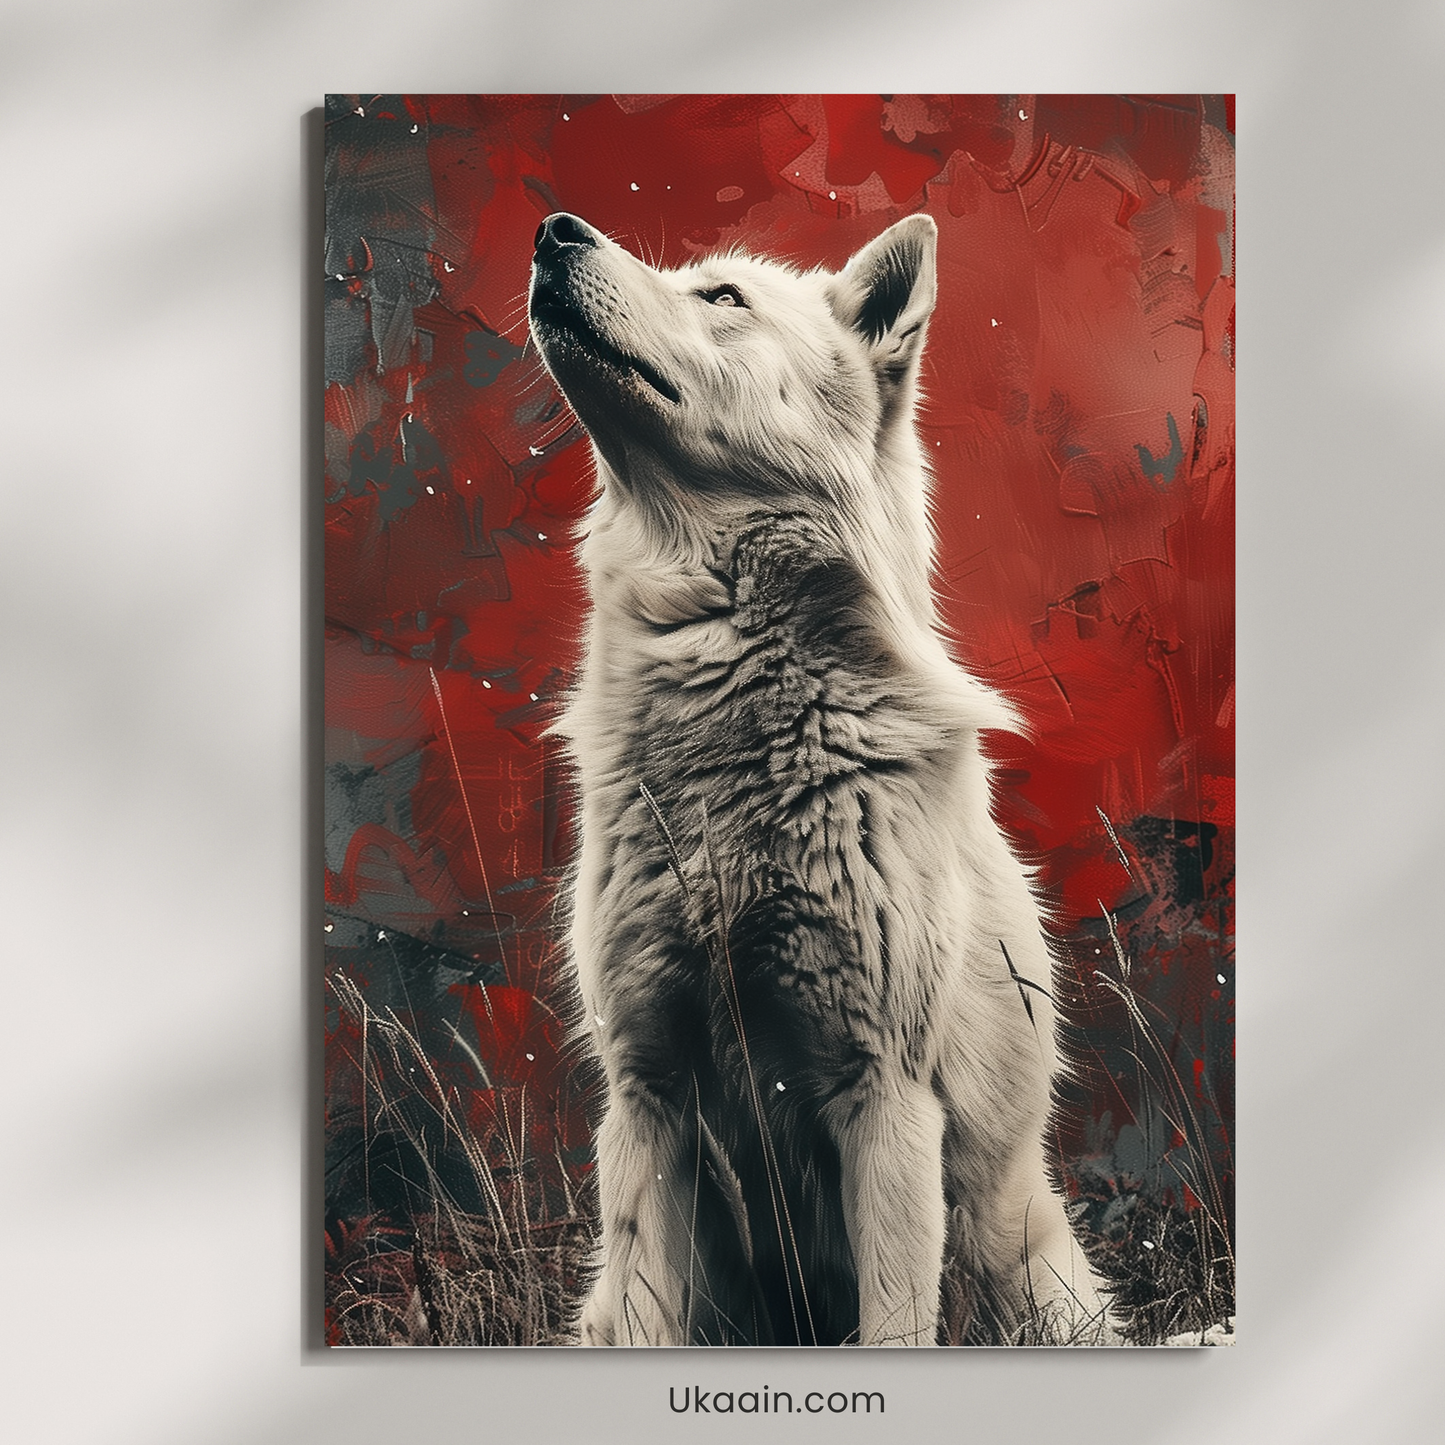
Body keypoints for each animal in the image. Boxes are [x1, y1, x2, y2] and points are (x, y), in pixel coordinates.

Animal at [528, 210, 1113, 1346]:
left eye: (721, 296)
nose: (552, 232)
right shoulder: (648, 1101)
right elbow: (652, 1316)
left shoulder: (880, 1096)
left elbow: (896, 1326)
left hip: (1025, 1266)